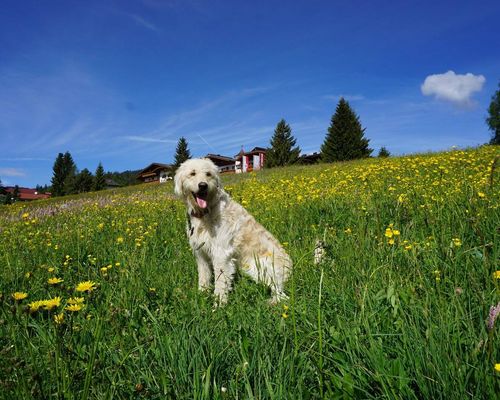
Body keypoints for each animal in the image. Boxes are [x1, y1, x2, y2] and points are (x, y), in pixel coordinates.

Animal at [176, 158, 292, 304]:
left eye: (208, 174)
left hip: (258, 267)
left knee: (280, 294)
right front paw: (202, 295)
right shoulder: (201, 253)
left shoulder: (221, 254)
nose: (203, 185)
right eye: (192, 173)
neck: (206, 212)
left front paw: (219, 304)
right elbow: (204, 277)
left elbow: (220, 283)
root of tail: (290, 269)